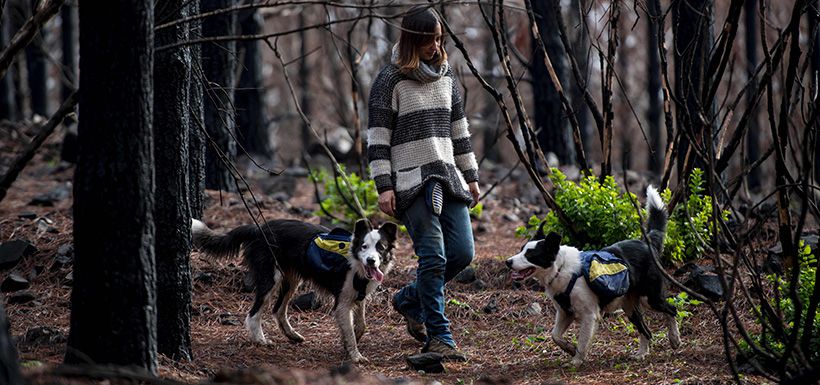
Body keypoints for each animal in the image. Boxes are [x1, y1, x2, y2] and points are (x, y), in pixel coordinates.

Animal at [192, 218, 398, 362]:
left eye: (381, 247)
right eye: (364, 246)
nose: (371, 260)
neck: (356, 264)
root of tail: (258, 228)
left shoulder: (359, 297)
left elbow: (361, 325)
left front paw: (350, 342)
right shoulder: (342, 303)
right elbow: (349, 332)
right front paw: (355, 355)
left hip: (291, 281)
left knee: (278, 310)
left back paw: (292, 335)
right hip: (270, 278)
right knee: (253, 314)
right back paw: (260, 340)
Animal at [502, 186, 684, 366]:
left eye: (530, 255)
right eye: (521, 250)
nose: (508, 262)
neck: (560, 268)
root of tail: (647, 243)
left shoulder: (589, 315)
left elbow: (582, 342)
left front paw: (576, 360)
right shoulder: (564, 313)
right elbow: (555, 336)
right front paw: (569, 348)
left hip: (650, 298)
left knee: (671, 309)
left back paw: (674, 338)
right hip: (630, 306)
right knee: (645, 330)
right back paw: (642, 353)